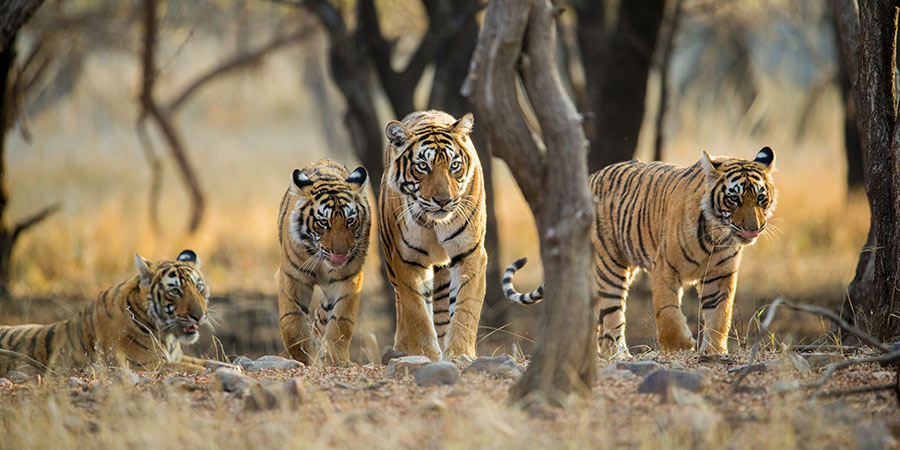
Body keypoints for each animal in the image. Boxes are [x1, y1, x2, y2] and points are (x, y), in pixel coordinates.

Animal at [0, 250, 210, 375]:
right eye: (175, 291)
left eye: (199, 288)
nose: (199, 316)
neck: (168, 337)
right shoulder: (146, 364)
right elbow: (194, 367)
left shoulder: (175, 357)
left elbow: (206, 361)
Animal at [277, 158, 370, 366]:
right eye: (323, 222)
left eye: (350, 221)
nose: (341, 254)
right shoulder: (293, 276)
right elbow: (291, 322)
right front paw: (305, 358)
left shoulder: (348, 279)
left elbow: (341, 322)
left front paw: (336, 361)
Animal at [380, 110, 487, 361]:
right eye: (422, 166)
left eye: (454, 165)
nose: (443, 201)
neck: (435, 223)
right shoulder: (407, 259)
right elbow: (416, 312)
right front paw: (425, 354)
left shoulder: (470, 253)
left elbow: (465, 307)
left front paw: (460, 353)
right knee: (402, 305)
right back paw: (401, 348)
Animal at [503, 147, 777, 356]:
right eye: (734, 199)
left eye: (761, 198)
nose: (753, 229)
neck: (716, 235)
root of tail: (590, 177)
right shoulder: (664, 269)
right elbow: (668, 314)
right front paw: (680, 346)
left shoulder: (720, 276)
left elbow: (720, 315)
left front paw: (714, 351)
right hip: (610, 267)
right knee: (612, 317)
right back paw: (619, 355)